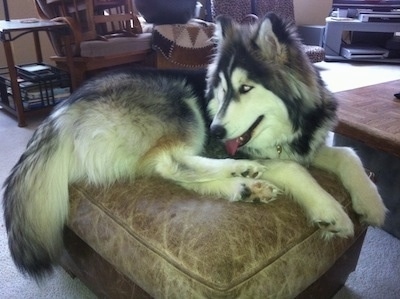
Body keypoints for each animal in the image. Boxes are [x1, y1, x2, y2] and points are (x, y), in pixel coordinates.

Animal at [1, 13, 386, 282]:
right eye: (222, 90)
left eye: (245, 88)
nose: (215, 129)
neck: (283, 132)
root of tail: (65, 107)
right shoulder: (243, 149)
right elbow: (293, 169)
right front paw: (331, 210)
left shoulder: (305, 145)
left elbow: (347, 154)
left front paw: (370, 202)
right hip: (182, 109)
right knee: (171, 165)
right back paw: (242, 174)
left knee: (173, 172)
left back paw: (245, 187)